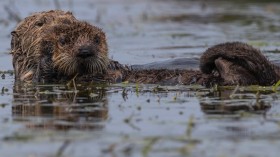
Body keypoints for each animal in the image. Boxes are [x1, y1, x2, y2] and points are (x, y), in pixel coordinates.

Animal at [9, 10, 280, 86]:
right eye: (40, 23)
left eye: (70, 17)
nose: (85, 51)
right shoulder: (29, 78)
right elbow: (42, 76)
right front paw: (47, 58)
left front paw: (114, 63)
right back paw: (223, 65)